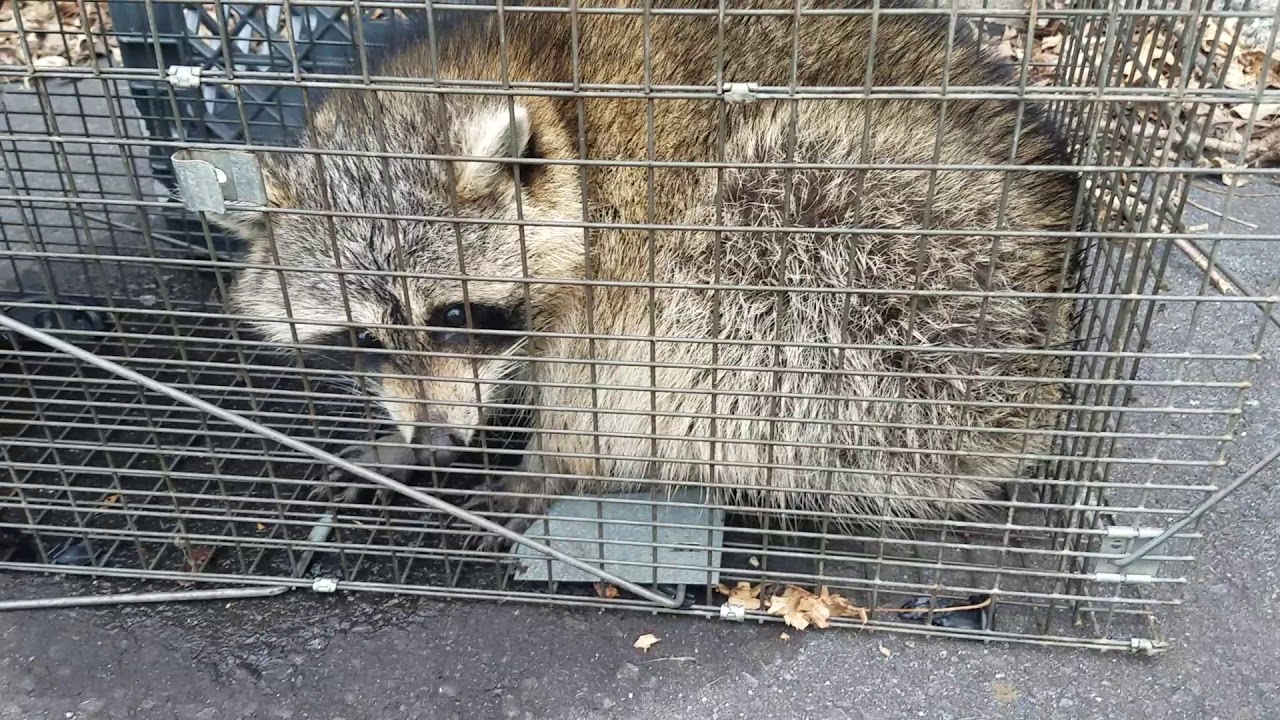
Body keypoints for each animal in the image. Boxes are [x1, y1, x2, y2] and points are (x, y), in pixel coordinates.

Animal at [213, 0, 1080, 543]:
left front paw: (551, 461)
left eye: (454, 315)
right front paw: (399, 441)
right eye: (358, 340)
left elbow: (612, 387)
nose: (435, 441)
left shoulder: (624, 253)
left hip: (910, 260)